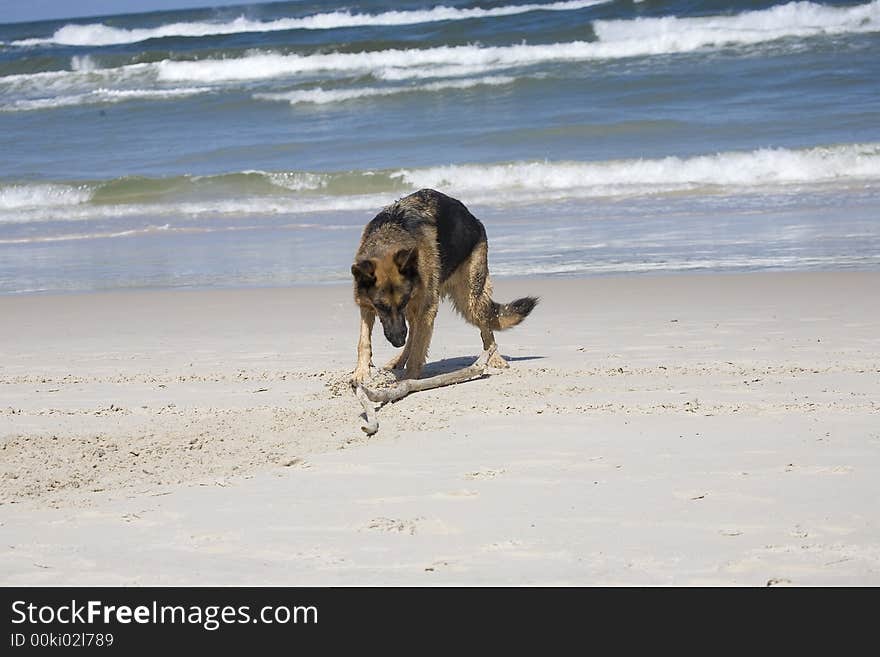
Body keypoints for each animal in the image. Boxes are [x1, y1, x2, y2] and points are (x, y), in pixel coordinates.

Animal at [350, 190, 536, 382]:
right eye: (381, 307)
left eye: (402, 302)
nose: (398, 341)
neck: (388, 237)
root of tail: (472, 218)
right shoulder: (368, 306)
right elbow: (364, 341)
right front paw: (361, 372)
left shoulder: (425, 308)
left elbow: (418, 346)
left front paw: (409, 379)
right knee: (414, 331)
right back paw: (399, 360)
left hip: (469, 302)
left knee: (486, 329)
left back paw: (495, 357)